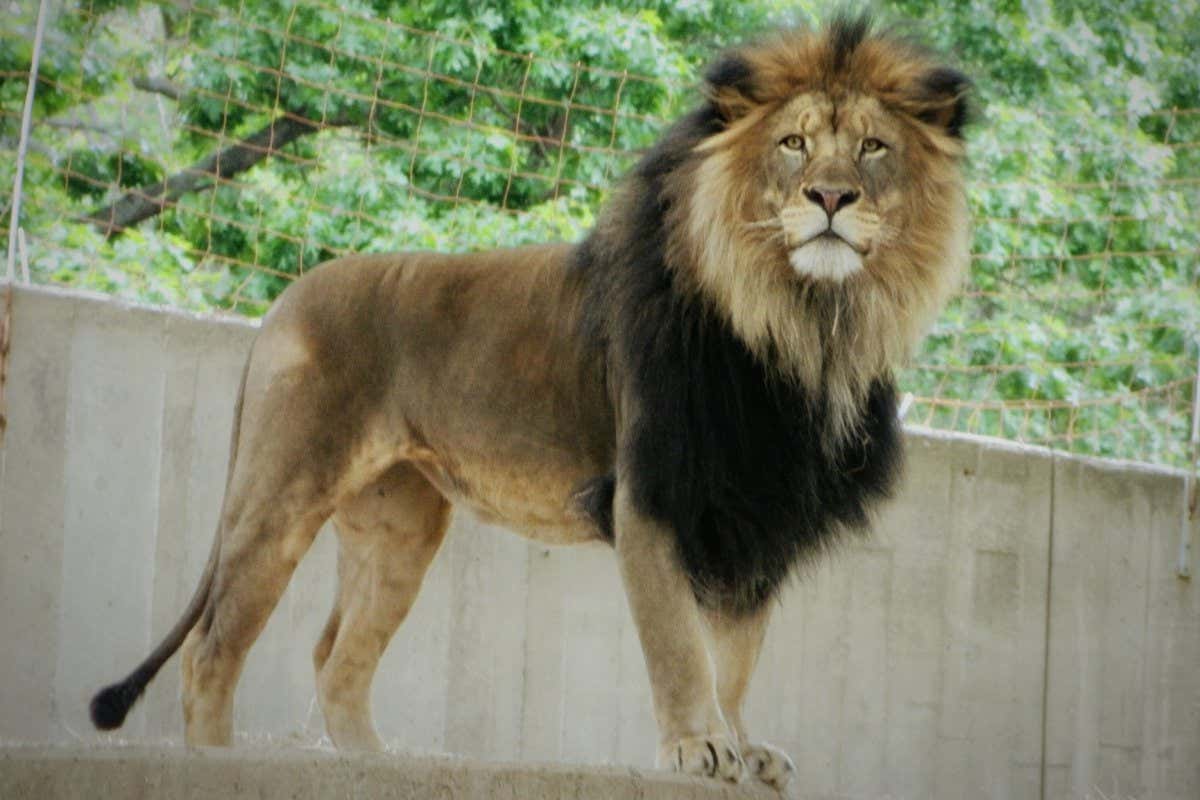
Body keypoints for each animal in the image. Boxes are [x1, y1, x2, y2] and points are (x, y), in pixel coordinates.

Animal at [90, 14, 970, 789]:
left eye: (873, 147)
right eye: (793, 144)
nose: (831, 197)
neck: (806, 324)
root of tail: (282, 301)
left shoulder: (753, 508)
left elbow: (737, 658)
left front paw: (745, 747)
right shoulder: (651, 491)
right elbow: (681, 647)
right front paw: (698, 747)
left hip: (401, 529)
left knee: (335, 659)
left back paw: (380, 766)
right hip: (282, 492)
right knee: (212, 650)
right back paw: (218, 764)